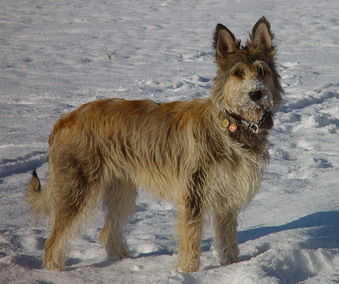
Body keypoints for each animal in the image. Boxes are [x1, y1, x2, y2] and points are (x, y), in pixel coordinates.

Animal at [25, 16, 284, 272]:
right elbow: (191, 237)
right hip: (77, 187)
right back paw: (54, 270)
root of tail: (64, 120)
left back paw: (123, 261)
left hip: (121, 188)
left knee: (108, 231)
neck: (232, 124)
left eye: (261, 71)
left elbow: (228, 239)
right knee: (54, 240)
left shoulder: (227, 195)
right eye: (238, 73)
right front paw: (188, 271)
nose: (256, 94)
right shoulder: (194, 193)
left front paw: (231, 267)